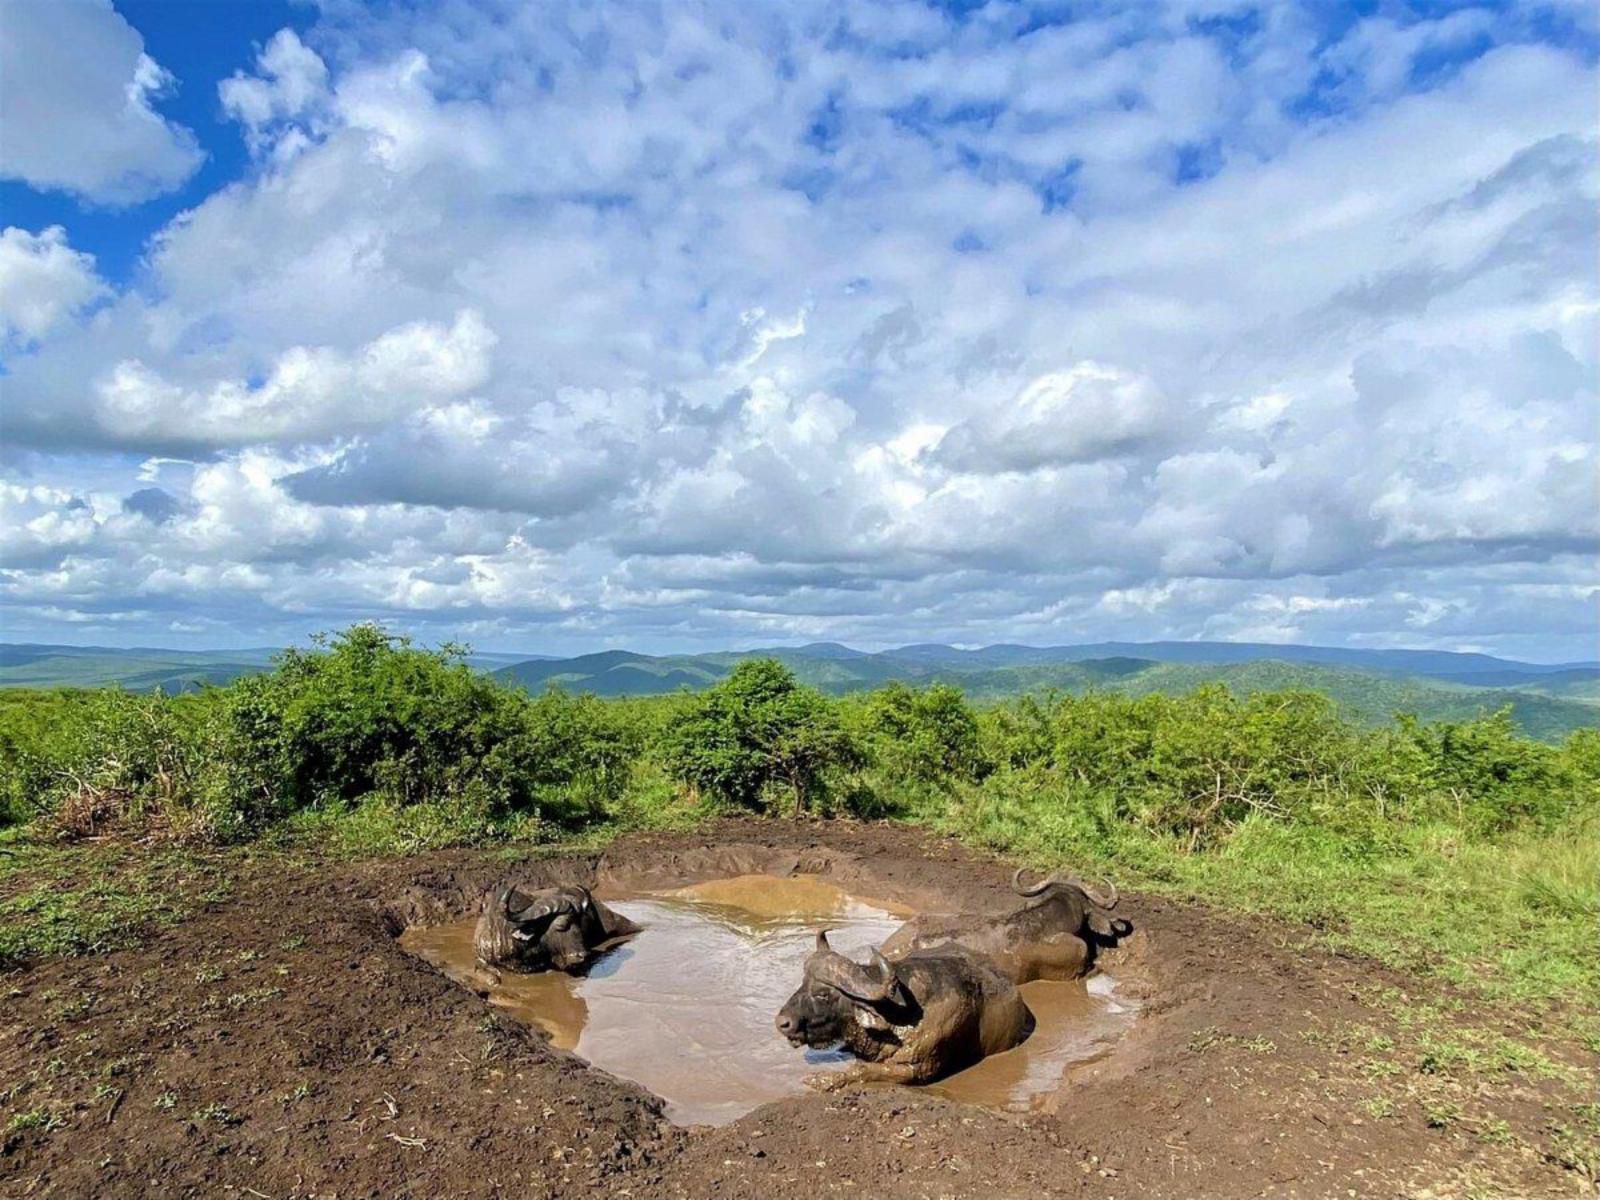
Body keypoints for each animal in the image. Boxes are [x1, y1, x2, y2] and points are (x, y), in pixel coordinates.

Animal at [777, 928, 1030, 1088]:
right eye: (803, 983)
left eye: (823, 993)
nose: (782, 1023)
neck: (897, 1015)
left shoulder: (918, 1068)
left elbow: (862, 1069)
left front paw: (823, 1080)